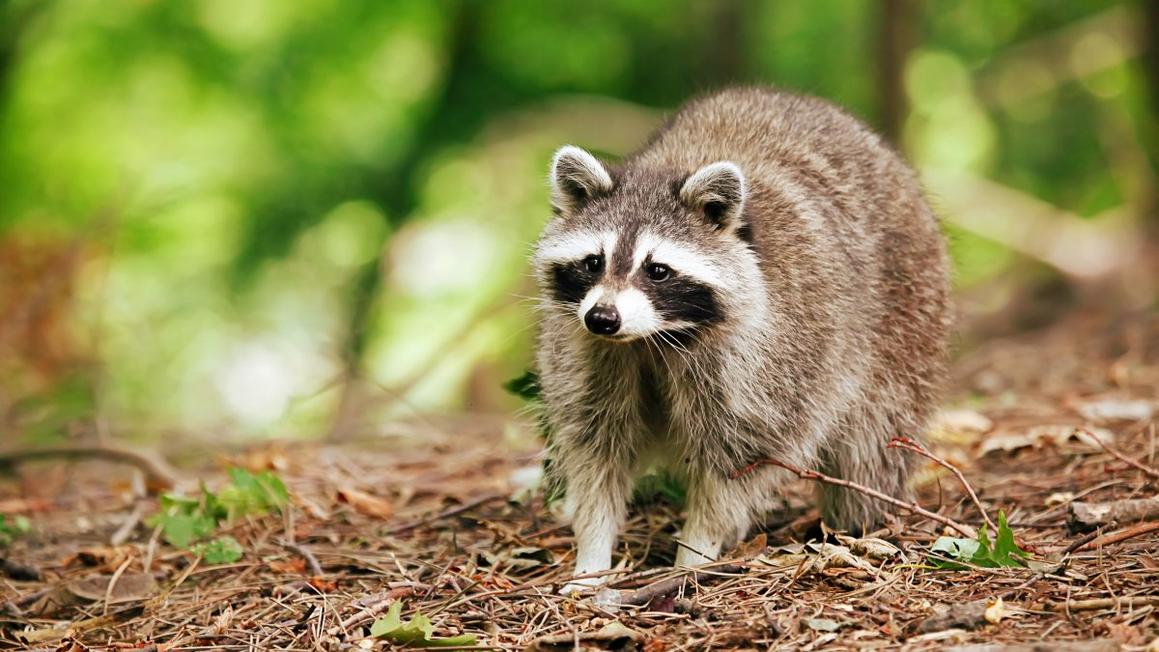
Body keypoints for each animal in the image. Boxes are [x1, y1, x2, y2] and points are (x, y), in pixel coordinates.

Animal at [531, 87, 951, 590]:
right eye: (594, 262)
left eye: (657, 270)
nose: (603, 318)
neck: (651, 339)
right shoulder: (590, 355)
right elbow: (596, 450)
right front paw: (592, 555)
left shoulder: (769, 360)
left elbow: (739, 461)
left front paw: (695, 551)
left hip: (908, 321)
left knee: (874, 445)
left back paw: (861, 524)